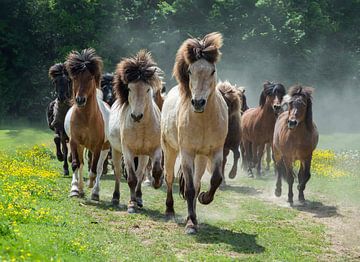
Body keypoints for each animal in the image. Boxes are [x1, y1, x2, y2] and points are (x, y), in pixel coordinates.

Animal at [64, 48, 109, 201]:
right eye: (75, 78)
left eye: (90, 78)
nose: (80, 100)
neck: (86, 119)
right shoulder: (74, 141)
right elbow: (76, 164)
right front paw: (74, 189)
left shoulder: (97, 146)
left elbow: (94, 170)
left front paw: (90, 185)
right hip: (81, 145)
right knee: (81, 164)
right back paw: (81, 189)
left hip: (105, 147)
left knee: (99, 168)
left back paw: (95, 192)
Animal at [107, 50, 162, 212]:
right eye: (130, 88)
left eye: (148, 89)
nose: (136, 116)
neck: (142, 127)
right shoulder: (128, 151)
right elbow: (131, 178)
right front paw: (131, 205)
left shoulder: (155, 149)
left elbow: (155, 170)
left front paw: (157, 183)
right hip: (116, 151)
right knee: (118, 173)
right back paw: (116, 198)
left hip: (143, 155)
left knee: (141, 172)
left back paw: (139, 198)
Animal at [161, 31, 228, 234]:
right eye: (190, 71)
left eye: (212, 71)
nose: (198, 103)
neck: (204, 121)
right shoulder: (187, 153)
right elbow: (189, 188)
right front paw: (190, 224)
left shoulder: (216, 151)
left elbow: (215, 179)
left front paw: (205, 198)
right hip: (170, 150)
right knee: (169, 178)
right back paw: (170, 210)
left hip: (201, 157)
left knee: (198, 183)